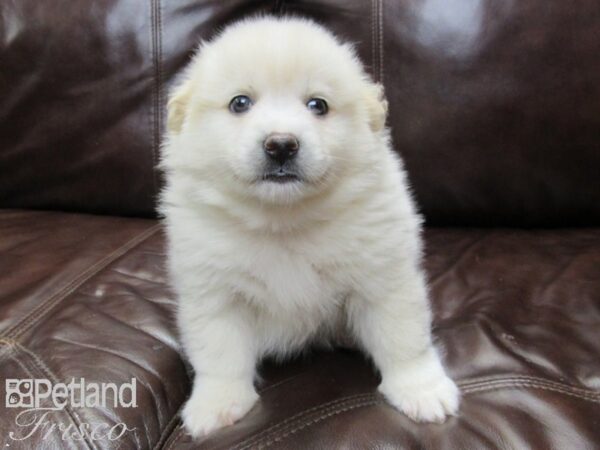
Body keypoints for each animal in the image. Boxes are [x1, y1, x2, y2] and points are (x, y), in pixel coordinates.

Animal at [159, 16, 460, 436]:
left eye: (318, 105)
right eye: (240, 103)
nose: (281, 144)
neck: (284, 220)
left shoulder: (383, 276)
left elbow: (403, 337)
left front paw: (421, 389)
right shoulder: (214, 291)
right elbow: (219, 351)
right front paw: (217, 403)